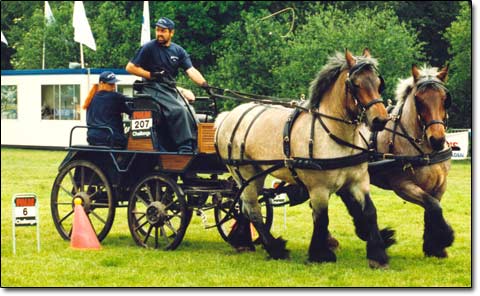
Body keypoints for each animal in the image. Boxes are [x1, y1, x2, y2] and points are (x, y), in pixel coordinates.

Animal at [216, 49, 396, 268]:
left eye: (378, 83)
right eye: (356, 84)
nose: (380, 120)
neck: (333, 134)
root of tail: (228, 115)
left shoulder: (358, 181)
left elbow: (369, 211)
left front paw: (378, 254)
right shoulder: (318, 188)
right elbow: (322, 218)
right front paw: (320, 254)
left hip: (255, 175)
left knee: (243, 207)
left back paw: (244, 242)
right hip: (244, 173)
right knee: (253, 210)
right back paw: (276, 248)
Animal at [368, 64, 454, 256]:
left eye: (445, 99)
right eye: (418, 100)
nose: (437, 139)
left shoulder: (440, 185)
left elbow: (432, 209)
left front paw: (433, 247)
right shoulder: (403, 186)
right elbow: (433, 206)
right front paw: (444, 238)